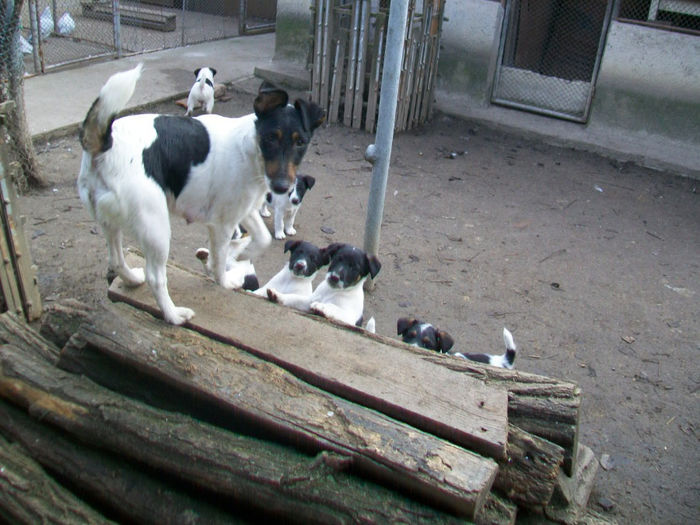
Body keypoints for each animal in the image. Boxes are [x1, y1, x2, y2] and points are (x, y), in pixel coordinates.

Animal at [78, 62, 324, 324]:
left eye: (301, 142)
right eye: (270, 138)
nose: (281, 187)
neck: (249, 149)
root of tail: (105, 144)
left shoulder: (243, 210)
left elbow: (262, 238)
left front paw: (242, 253)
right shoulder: (222, 224)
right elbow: (219, 263)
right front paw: (225, 275)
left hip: (110, 222)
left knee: (116, 260)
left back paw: (133, 280)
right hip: (156, 228)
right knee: (156, 277)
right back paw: (174, 315)